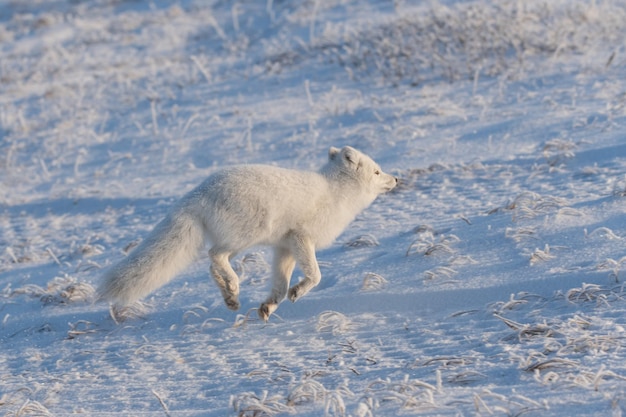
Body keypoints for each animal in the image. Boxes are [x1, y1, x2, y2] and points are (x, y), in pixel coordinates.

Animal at [97, 145, 394, 320]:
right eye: (377, 171)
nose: (397, 179)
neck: (335, 193)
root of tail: (199, 192)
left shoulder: (284, 247)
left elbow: (280, 286)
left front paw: (269, 306)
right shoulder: (301, 238)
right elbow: (315, 275)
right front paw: (298, 292)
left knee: (211, 265)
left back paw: (230, 297)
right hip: (249, 233)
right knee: (214, 255)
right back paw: (233, 284)